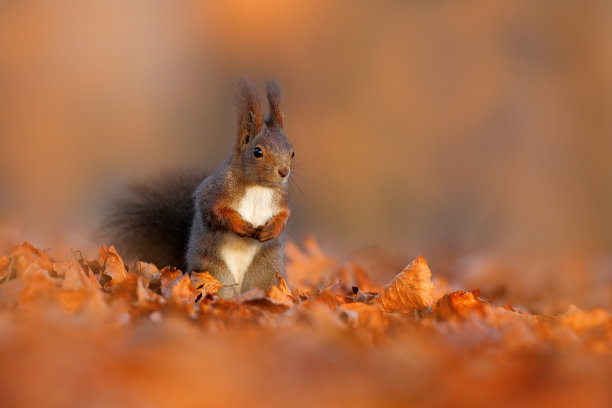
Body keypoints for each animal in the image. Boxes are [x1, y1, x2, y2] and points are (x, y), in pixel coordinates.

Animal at [104, 80, 294, 296]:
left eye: (292, 152)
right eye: (257, 152)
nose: (284, 172)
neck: (258, 187)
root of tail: (238, 290)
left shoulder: (281, 199)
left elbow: (284, 216)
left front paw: (271, 230)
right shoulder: (215, 190)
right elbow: (214, 212)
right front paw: (241, 225)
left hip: (266, 271)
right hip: (215, 271)